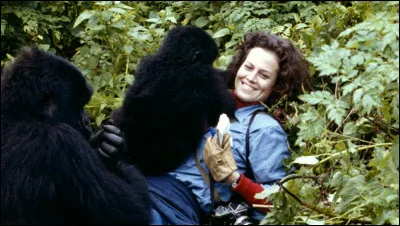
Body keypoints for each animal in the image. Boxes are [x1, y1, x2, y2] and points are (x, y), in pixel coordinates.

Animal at [0, 46, 151, 225]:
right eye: (78, 105)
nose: (86, 121)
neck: (21, 112)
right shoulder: (63, 141)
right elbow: (134, 209)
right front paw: (114, 153)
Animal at [111, 25, 238, 176]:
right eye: (210, 62)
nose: (213, 66)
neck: (173, 59)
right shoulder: (204, 77)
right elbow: (227, 107)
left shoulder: (146, 63)